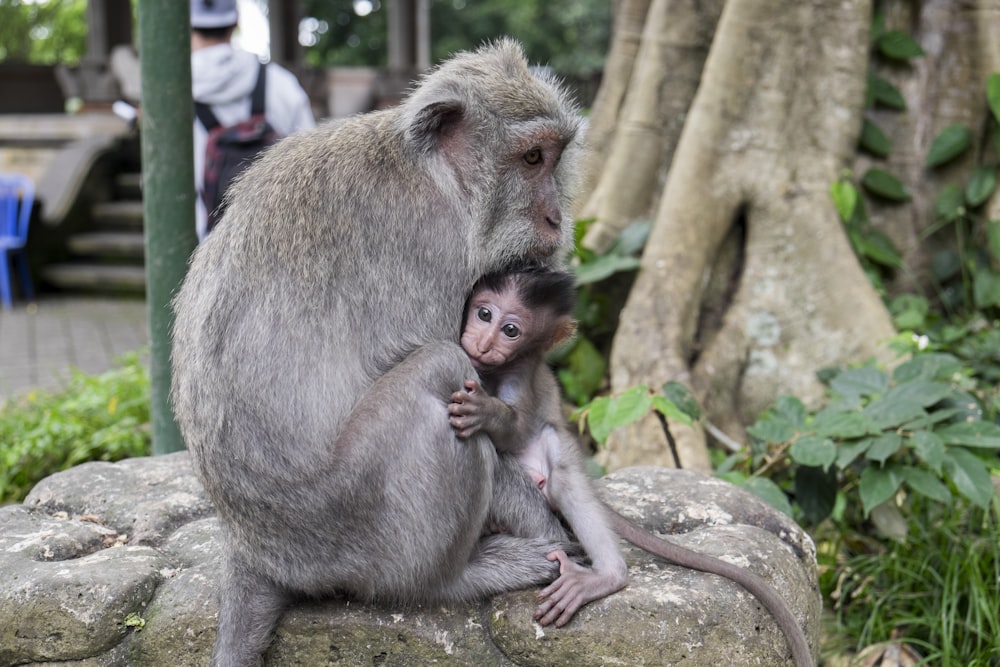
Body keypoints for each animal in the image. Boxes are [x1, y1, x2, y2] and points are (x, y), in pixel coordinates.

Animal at [169, 39, 584, 664]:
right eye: (532, 158)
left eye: (555, 158)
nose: (556, 219)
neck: (438, 176)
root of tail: (252, 548)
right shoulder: (438, 249)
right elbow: (472, 389)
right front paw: (551, 528)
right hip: (357, 526)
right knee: (440, 369)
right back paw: (458, 576)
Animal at [450, 268, 816, 667]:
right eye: (484, 314)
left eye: (511, 330)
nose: (484, 342)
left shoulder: (523, 371)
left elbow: (515, 430)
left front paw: (485, 411)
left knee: (563, 482)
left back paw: (608, 575)